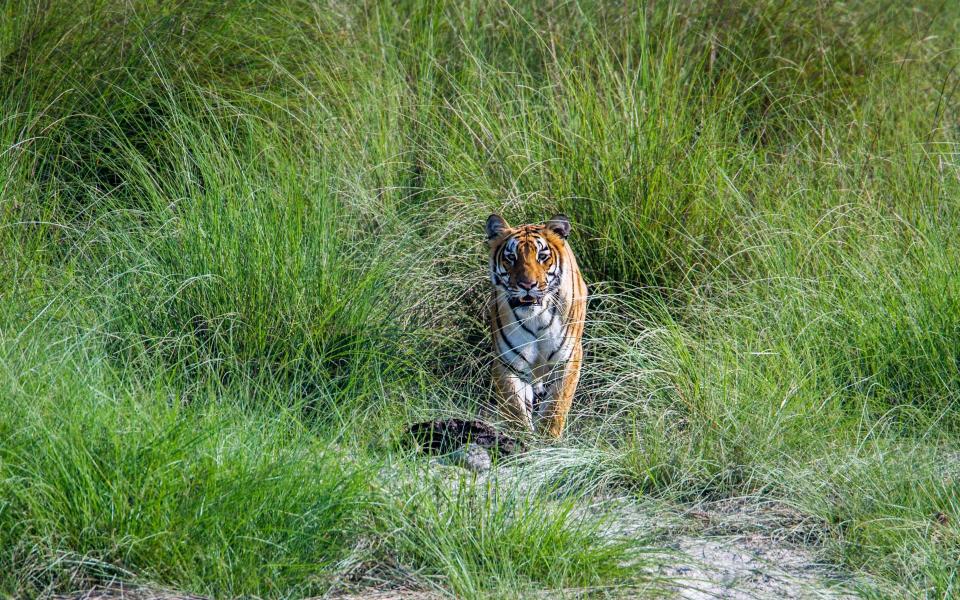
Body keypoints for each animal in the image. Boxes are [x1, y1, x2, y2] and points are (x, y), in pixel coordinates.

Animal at [488, 213, 584, 438]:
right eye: (511, 257)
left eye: (542, 256)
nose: (527, 285)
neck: (536, 318)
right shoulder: (508, 363)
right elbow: (515, 409)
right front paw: (521, 440)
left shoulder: (568, 359)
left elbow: (556, 407)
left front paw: (549, 441)